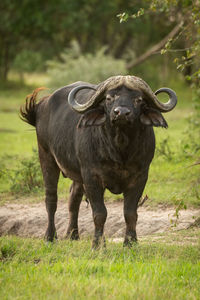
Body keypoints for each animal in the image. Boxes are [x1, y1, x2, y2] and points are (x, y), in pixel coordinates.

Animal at [19, 74, 177, 246]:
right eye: (109, 98)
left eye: (138, 99)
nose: (121, 113)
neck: (120, 149)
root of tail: (42, 104)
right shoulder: (92, 176)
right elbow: (100, 213)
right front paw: (98, 245)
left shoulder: (140, 176)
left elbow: (130, 213)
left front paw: (130, 243)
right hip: (46, 157)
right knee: (51, 199)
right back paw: (50, 237)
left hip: (77, 175)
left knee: (74, 198)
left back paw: (73, 235)